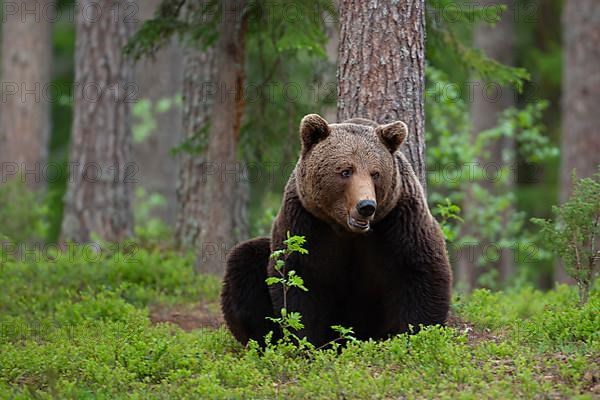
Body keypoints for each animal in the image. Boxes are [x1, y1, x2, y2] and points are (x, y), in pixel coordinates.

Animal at [223, 115, 452, 346]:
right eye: (345, 171)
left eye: (375, 173)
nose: (366, 206)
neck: (346, 230)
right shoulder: (306, 222)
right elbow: (300, 281)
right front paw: (304, 342)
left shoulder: (400, 220)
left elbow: (419, 272)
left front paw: (415, 335)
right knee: (244, 260)